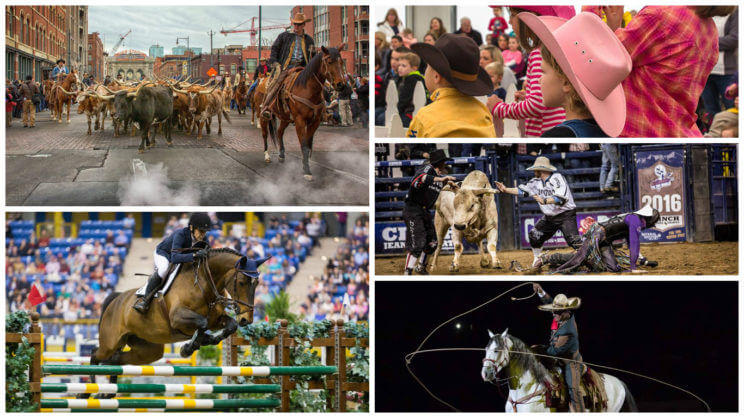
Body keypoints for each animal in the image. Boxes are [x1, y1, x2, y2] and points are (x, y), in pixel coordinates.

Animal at [258, 45, 348, 180]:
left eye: (342, 62)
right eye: (329, 61)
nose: (341, 84)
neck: (308, 89)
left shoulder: (314, 121)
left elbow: (308, 144)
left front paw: (306, 166)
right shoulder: (300, 120)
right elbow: (304, 146)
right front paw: (306, 170)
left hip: (285, 118)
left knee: (279, 132)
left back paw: (281, 155)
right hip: (264, 116)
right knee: (265, 135)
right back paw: (267, 156)